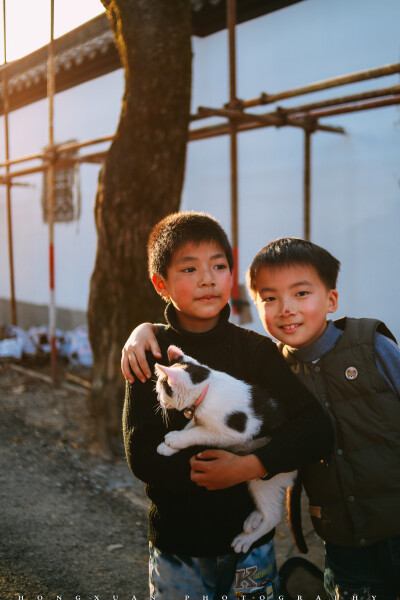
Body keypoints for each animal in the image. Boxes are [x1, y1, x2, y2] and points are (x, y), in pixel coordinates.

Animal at [154, 344, 306, 556]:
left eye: (160, 389)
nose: (158, 398)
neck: (207, 387)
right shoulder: (198, 418)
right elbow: (190, 427)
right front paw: (168, 447)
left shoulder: (235, 433)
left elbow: (199, 433)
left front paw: (173, 439)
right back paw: (252, 520)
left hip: (264, 477)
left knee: (273, 516)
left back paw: (245, 539)